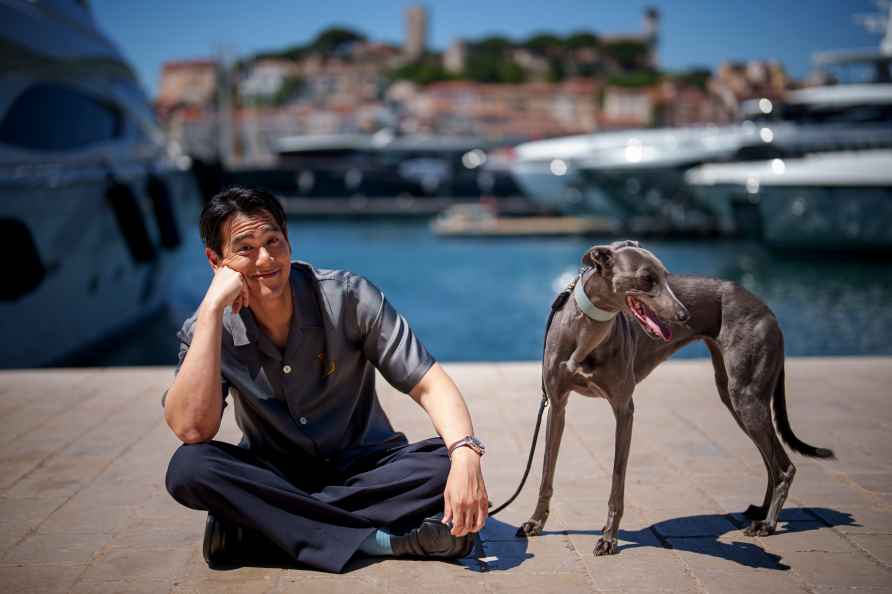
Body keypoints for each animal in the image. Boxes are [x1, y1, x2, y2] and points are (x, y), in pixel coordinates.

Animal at [520, 238, 832, 552]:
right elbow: (546, 471)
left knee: (783, 466)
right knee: (770, 461)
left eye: (666, 276)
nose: (685, 315)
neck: (588, 330)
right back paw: (761, 512)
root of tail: (766, 308)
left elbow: (617, 482)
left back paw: (767, 524)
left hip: (747, 397)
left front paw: (609, 538)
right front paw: (535, 522)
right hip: (734, 397)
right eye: (647, 279)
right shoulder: (556, 405)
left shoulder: (624, 409)